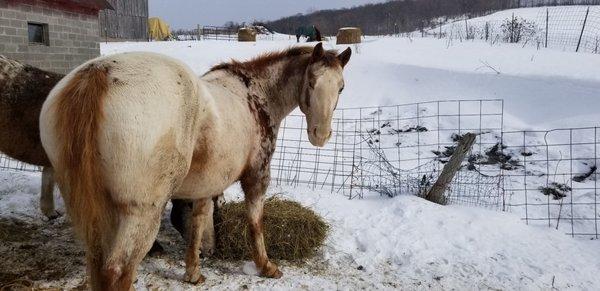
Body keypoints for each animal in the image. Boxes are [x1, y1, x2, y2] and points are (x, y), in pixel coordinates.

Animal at [39, 42, 350, 290]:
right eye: (311, 82)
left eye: (341, 88)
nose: (321, 135)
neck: (255, 94)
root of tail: (97, 75)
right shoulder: (256, 178)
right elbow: (255, 224)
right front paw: (266, 267)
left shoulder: (205, 186)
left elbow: (198, 225)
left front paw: (193, 272)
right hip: (140, 215)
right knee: (117, 271)